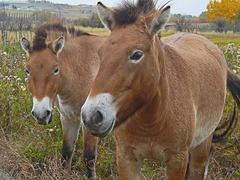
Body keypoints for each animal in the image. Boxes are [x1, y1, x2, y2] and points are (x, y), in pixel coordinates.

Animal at [21, 22, 105, 179]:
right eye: (27, 70)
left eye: (56, 69)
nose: (41, 115)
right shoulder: (68, 118)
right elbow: (66, 153)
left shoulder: (90, 122)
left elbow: (89, 158)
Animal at [81, 0, 240, 179]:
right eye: (100, 52)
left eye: (136, 55)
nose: (91, 116)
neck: (152, 121)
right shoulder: (126, 158)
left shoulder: (177, 160)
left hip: (203, 145)